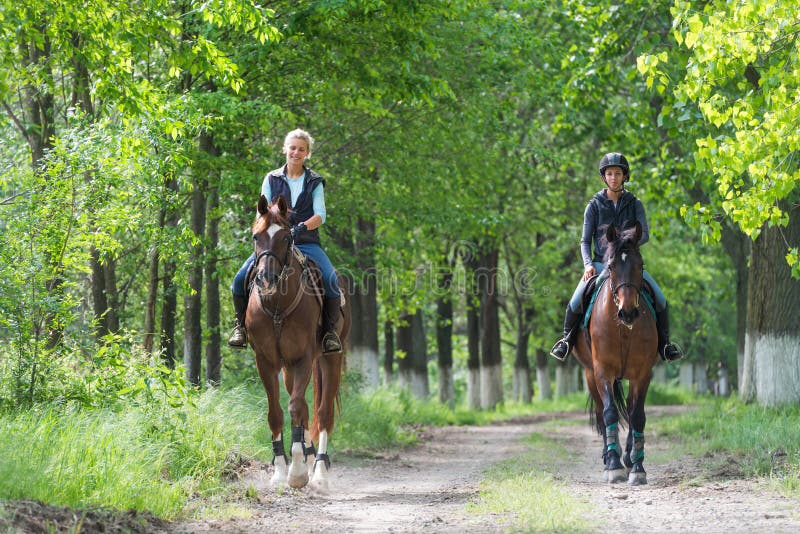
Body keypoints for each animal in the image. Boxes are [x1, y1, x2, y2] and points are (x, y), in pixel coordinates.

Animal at [247, 196, 350, 494]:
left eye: (284, 237)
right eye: (256, 236)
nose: (266, 279)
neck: (277, 306)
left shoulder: (304, 358)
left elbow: (295, 407)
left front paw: (297, 473)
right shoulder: (266, 361)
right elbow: (276, 413)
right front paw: (280, 471)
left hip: (330, 358)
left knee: (323, 413)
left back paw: (320, 473)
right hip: (288, 369)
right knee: (303, 408)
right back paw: (308, 456)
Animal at [572, 221, 660, 486]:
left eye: (640, 265)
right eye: (610, 266)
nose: (628, 312)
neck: (623, 330)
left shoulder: (642, 373)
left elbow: (637, 415)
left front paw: (638, 468)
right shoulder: (602, 371)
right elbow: (609, 412)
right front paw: (613, 466)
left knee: (630, 411)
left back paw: (629, 456)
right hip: (589, 374)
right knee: (602, 414)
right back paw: (610, 456)